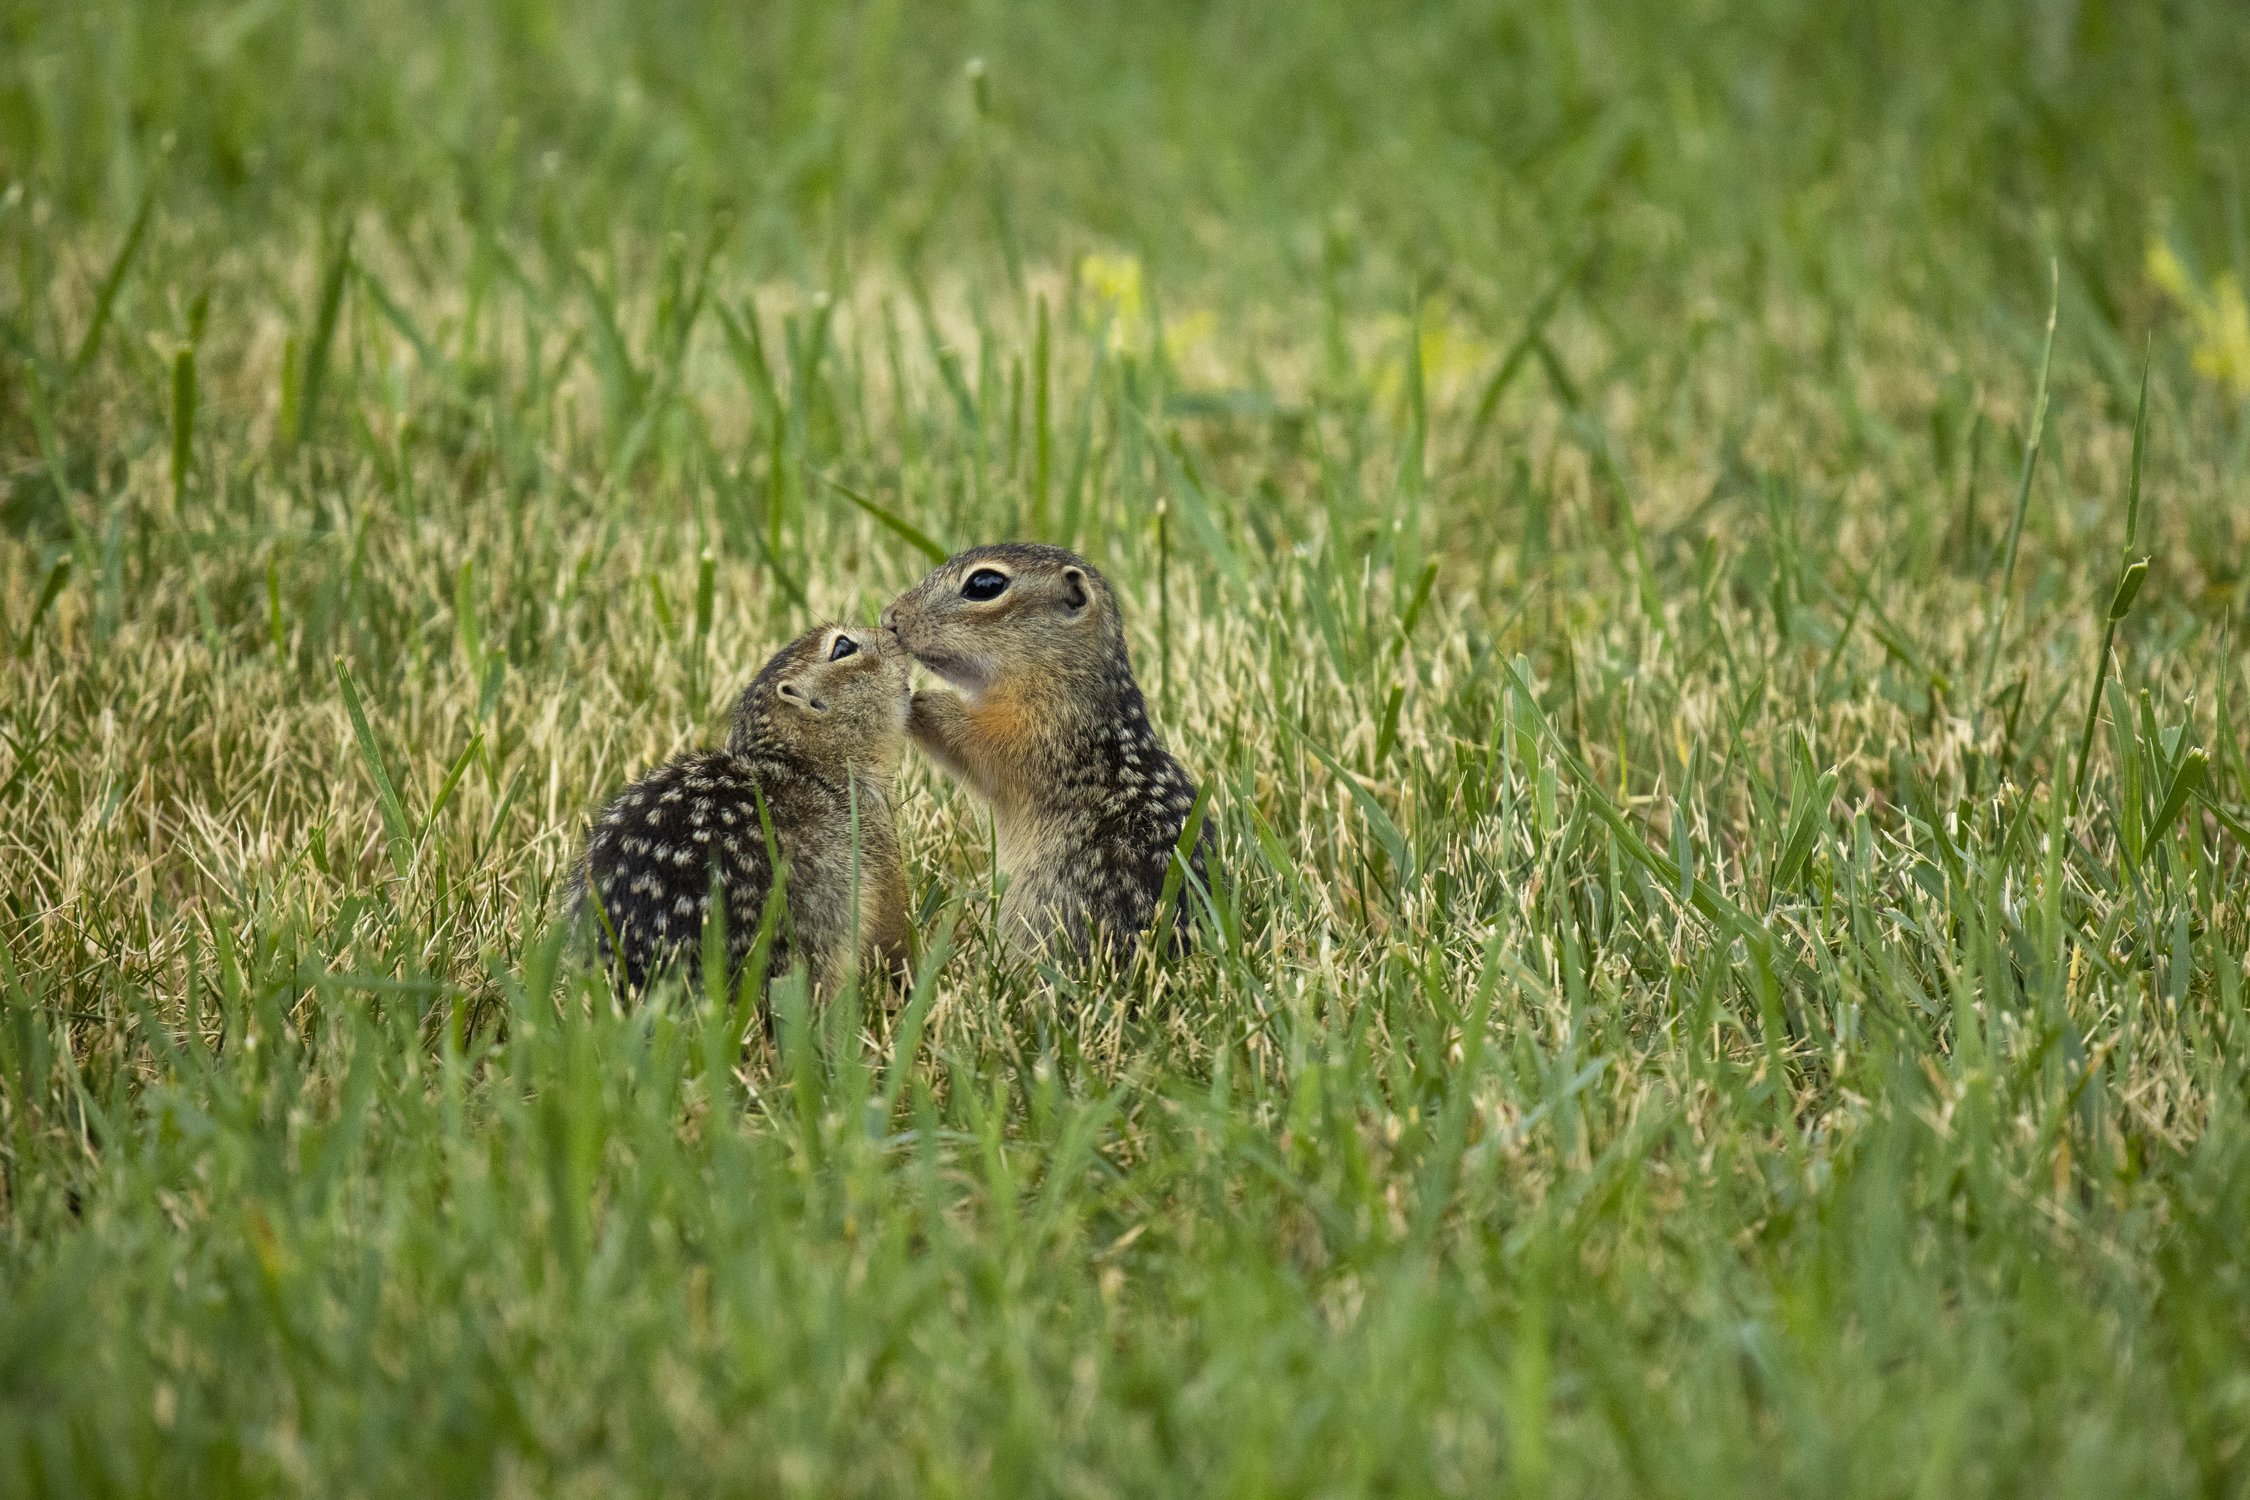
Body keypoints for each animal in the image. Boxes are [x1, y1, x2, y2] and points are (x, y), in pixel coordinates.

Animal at [882, 546, 1215, 958]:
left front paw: (923, 700)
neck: (1063, 674)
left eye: (985, 585)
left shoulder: (1041, 732)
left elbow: (982, 744)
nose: (890, 618)